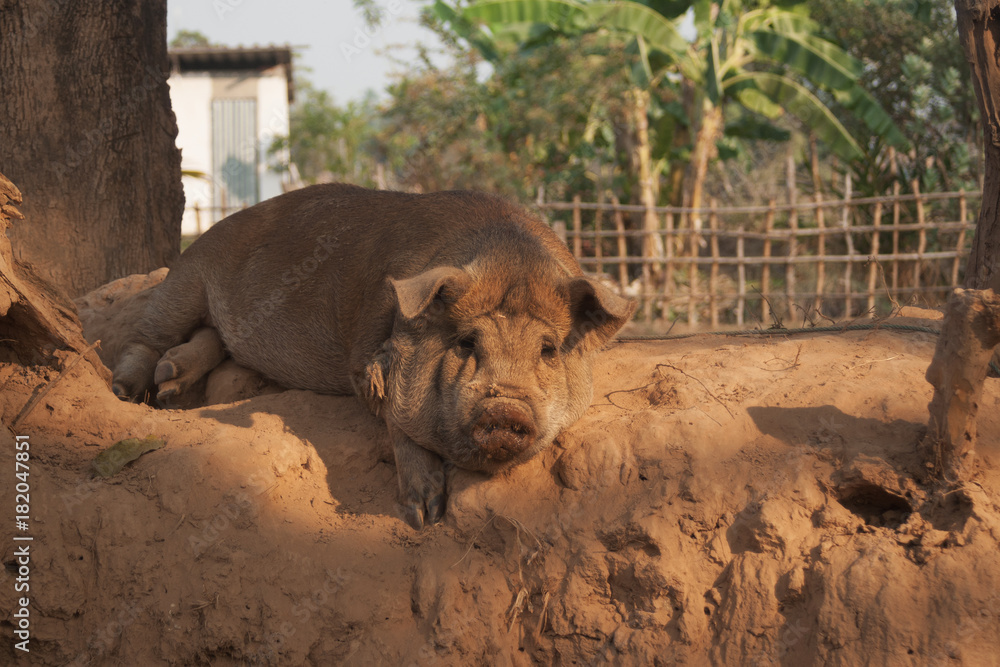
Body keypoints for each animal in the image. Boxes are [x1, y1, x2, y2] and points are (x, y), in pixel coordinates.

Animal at [112, 183, 636, 528]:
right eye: (466, 342)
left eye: (548, 349)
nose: (504, 406)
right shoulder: (369, 360)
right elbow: (398, 422)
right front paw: (423, 516)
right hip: (187, 276)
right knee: (146, 336)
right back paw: (129, 390)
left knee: (212, 339)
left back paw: (170, 385)